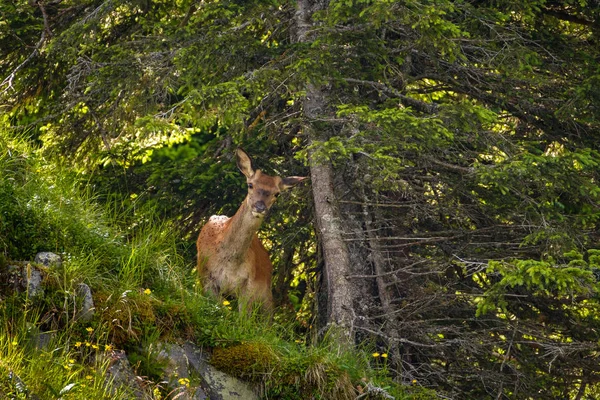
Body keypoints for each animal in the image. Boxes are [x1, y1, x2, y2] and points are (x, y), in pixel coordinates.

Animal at [197, 148, 308, 312]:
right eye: (250, 185)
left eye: (277, 193)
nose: (260, 207)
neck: (229, 262)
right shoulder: (205, 276)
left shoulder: (249, 285)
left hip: (266, 293)